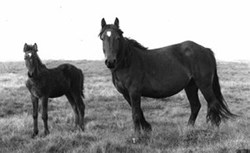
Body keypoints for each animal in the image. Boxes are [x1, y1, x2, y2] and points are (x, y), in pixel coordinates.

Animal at [99, 18, 234, 139]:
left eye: (118, 38)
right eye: (102, 38)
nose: (110, 62)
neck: (128, 61)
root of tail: (206, 50)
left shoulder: (134, 92)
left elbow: (135, 114)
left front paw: (137, 137)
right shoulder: (126, 94)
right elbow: (139, 112)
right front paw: (147, 129)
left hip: (204, 85)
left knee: (213, 104)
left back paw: (214, 131)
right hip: (190, 86)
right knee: (196, 106)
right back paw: (188, 130)